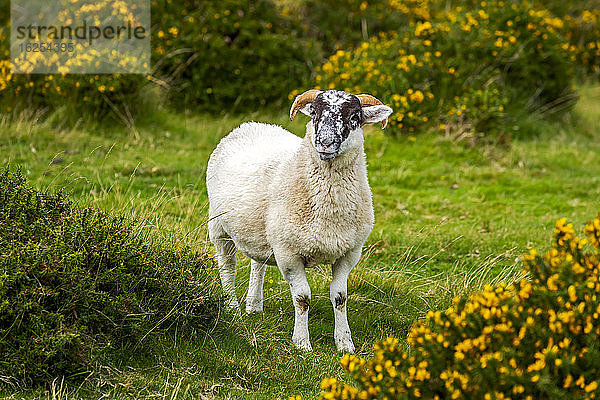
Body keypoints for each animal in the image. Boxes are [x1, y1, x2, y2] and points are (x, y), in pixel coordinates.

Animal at [206, 89, 394, 352]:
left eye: (355, 116)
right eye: (314, 113)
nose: (325, 143)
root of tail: (250, 124)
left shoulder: (349, 253)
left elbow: (340, 297)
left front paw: (344, 343)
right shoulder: (288, 253)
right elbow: (302, 297)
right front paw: (302, 343)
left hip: (261, 230)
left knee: (257, 264)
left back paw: (253, 306)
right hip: (219, 227)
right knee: (227, 268)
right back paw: (232, 309)